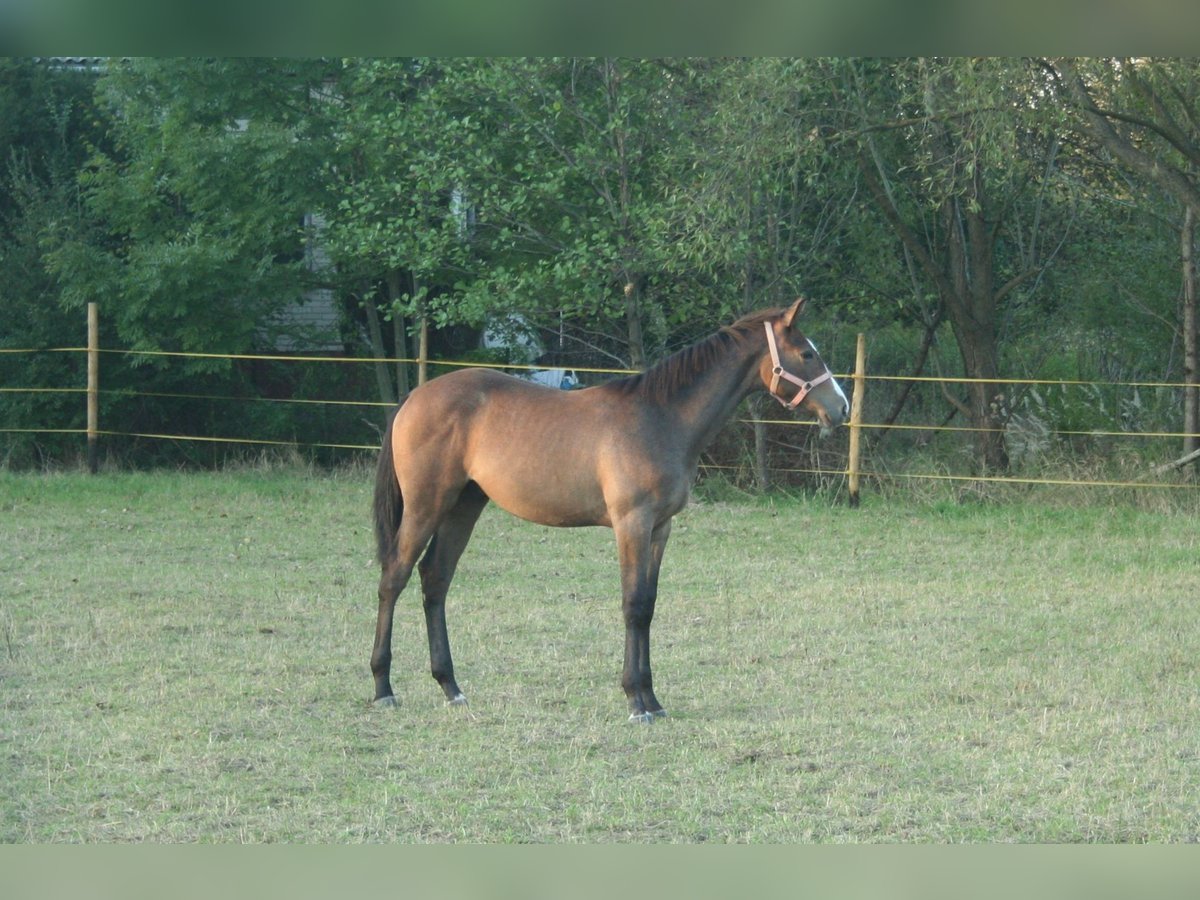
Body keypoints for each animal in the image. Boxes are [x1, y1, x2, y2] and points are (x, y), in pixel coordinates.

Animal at [369, 300, 849, 724]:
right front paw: (636, 702)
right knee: (394, 577)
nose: (842, 407)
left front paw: (653, 699)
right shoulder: (631, 523)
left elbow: (649, 606)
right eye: (807, 353)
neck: (661, 418)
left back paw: (450, 687)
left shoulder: (660, 528)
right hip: (427, 504)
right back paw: (383, 687)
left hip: (463, 506)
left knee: (435, 579)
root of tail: (414, 397)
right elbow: (632, 605)